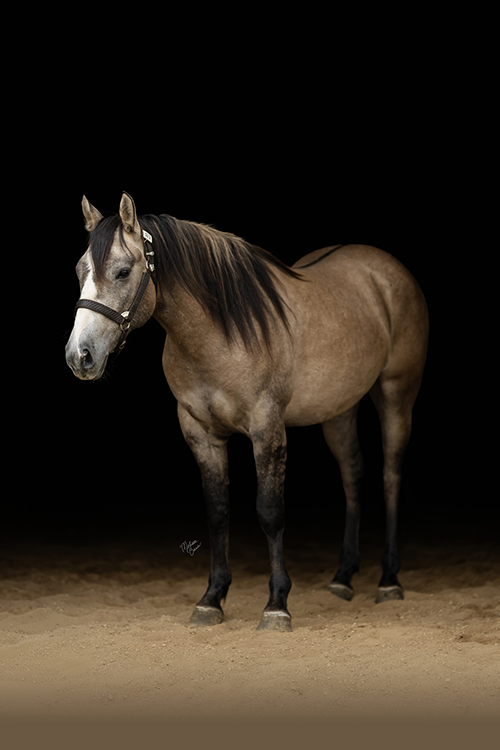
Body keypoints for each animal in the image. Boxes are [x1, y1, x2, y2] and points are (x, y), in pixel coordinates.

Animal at [66, 192, 429, 631]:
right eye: (80, 271)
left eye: (121, 272)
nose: (79, 356)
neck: (222, 332)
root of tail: (385, 269)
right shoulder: (199, 432)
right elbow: (217, 512)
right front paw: (211, 599)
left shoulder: (266, 429)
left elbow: (269, 512)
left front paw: (276, 605)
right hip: (339, 409)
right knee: (353, 478)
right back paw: (343, 578)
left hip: (396, 393)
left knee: (390, 476)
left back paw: (389, 580)